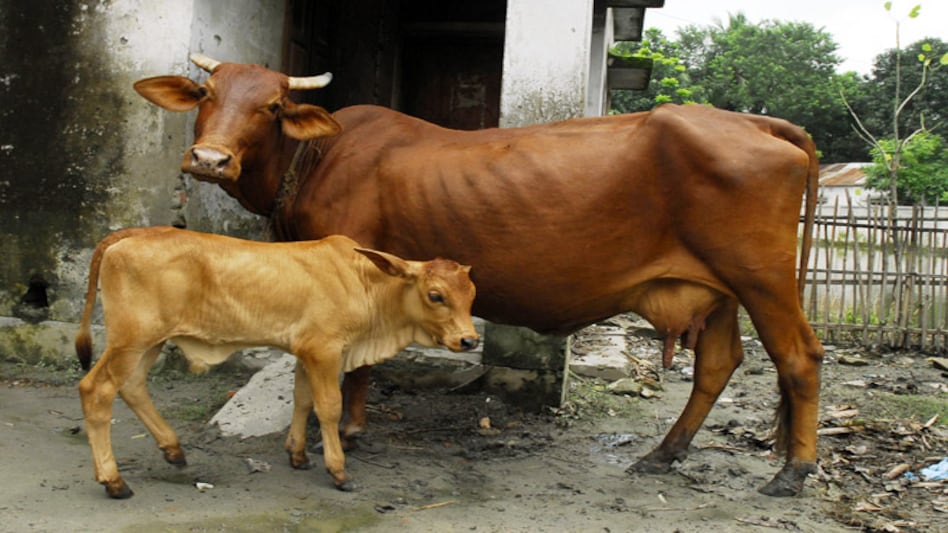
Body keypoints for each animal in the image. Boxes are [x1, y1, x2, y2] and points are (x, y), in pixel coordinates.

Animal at [75, 227, 479, 498]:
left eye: (471, 295)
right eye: (435, 295)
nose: (470, 340)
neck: (365, 283)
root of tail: (130, 233)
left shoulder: (305, 352)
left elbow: (302, 400)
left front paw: (297, 454)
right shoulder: (324, 350)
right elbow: (328, 407)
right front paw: (338, 471)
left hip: (149, 343)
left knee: (132, 386)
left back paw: (172, 449)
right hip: (131, 340)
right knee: (96, 389)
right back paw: (114, 481)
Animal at [132, 54, 825, 496]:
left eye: (272, 105)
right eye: (208, 97)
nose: (209, 159)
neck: (319, 157)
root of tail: (751, 120)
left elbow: (357, 363)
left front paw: (351, 430)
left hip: (762, 278)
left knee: (799, 359)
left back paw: (791, 472)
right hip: (718, 291)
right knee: (719, 363)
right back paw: (664, 454)